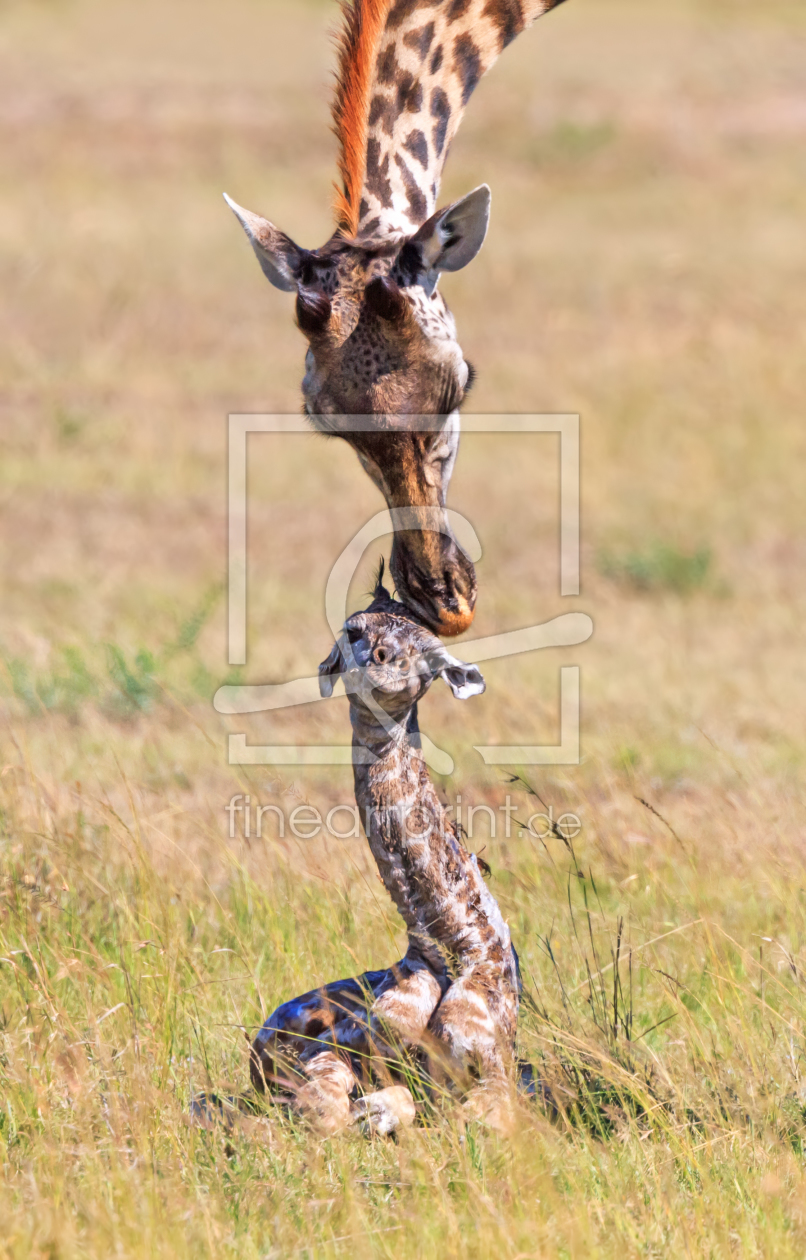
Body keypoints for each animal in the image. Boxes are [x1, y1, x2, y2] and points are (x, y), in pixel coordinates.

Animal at [249, 577, 518, 1139]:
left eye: (432, 657)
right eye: (353, 630)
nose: (380, 661)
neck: (458, 947)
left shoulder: (497, 1074)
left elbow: (470, 1120)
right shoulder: (332, 1056)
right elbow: (334, 1109)